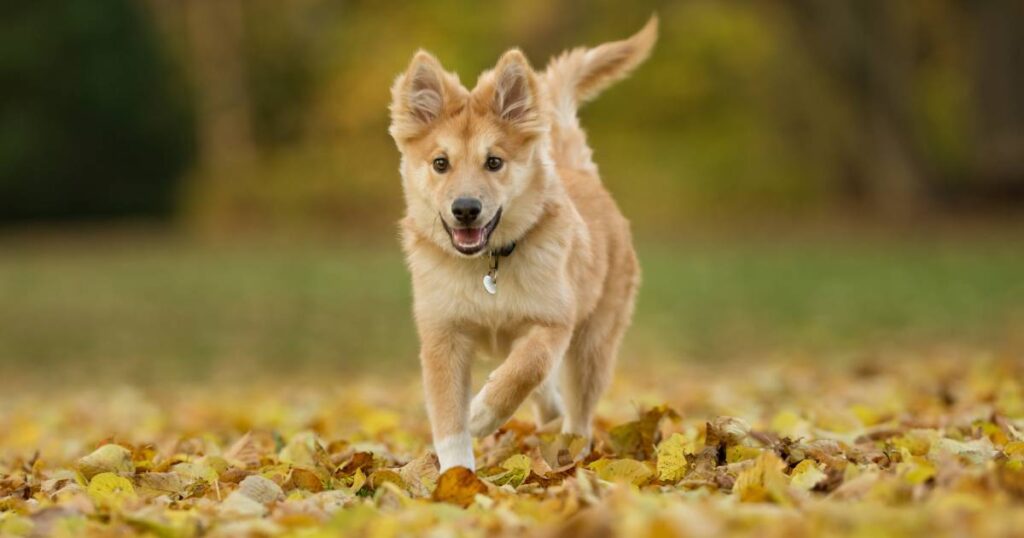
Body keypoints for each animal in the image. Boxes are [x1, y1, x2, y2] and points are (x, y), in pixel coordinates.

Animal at [387, 16, 651, 469]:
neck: (485, 267)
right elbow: (448, 419)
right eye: (440, 163)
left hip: (594, 342)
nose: (466, 209)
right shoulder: (442, 335)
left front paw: (482, 413)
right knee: (550, 397)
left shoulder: (554, 319)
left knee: (577, 408)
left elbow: (529, 366)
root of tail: (581, 173)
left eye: (494, 162)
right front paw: (457, 475)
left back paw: (571, 451)